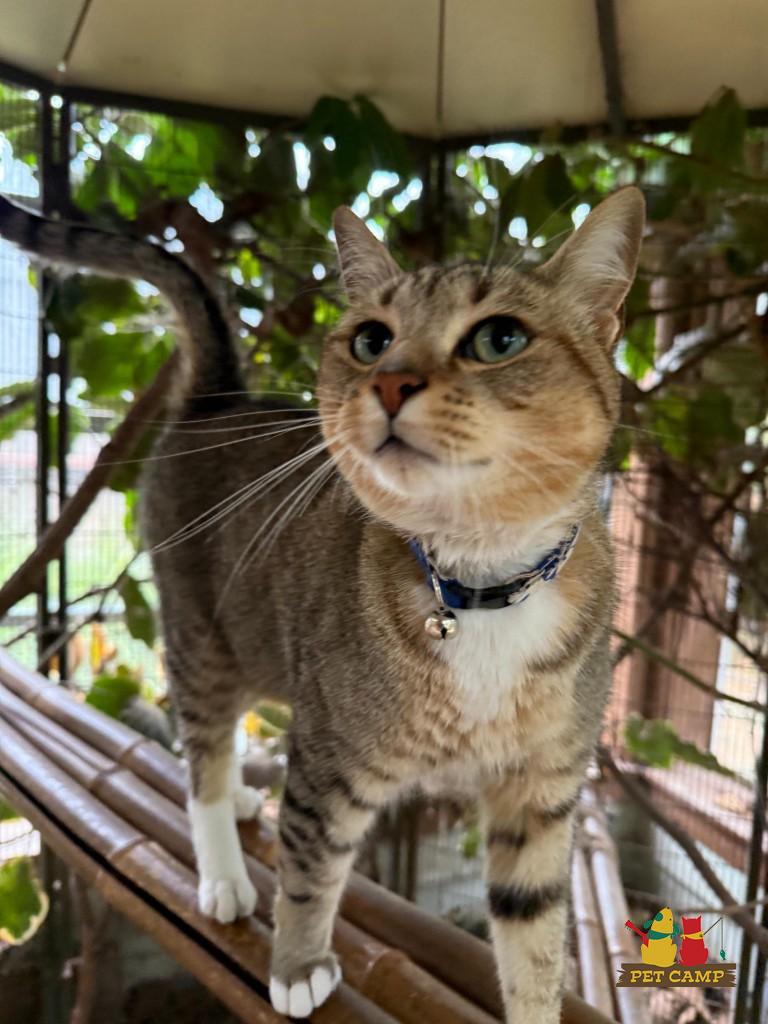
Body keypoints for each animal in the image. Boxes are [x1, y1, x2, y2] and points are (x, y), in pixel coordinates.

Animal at [0, 185, 644, 1023]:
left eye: (499, 337)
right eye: (372, 340)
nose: (392, 382)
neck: (479, 585)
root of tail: (217, 401)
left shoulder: (543, 792)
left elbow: (534, 940)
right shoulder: (329, 760)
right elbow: (310, 871)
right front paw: (299, 964)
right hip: (200, 636)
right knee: (202, 754)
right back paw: (223, 867)